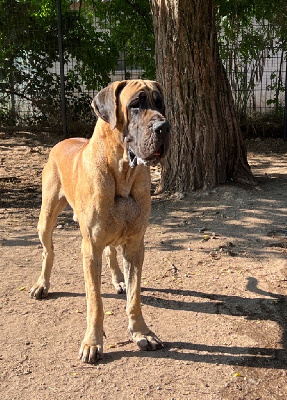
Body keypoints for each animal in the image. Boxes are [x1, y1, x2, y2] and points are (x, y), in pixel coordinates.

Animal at [29, 79, 171, 364]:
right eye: (136, 105)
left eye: (160, 103)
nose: (164, 127)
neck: (122, 171)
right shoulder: (90, 248)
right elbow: (95, 301)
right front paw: (92, 342)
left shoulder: (135, 245)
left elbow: (135, 296)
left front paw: (141, 332)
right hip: (46, 217)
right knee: (48, 251)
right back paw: (42, 284)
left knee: (111, 253)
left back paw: (118, 279)